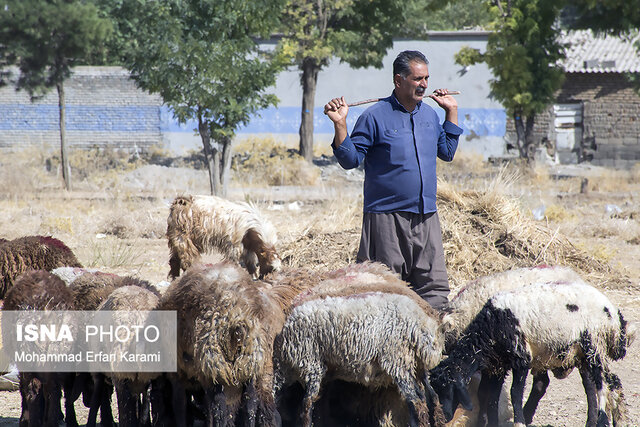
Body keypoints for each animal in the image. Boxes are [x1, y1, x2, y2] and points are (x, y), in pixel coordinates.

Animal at [154, 262, 306, 426]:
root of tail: (236, 319)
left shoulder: (179, 375)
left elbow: (180, 407)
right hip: (251, 365)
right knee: (252, 404)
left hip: (216, 368)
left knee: (220, 409)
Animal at [274, 264, 444, 427]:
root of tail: (420, 323)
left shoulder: (312, 365)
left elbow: (306, 406)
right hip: (417, 364)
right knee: (431, 396)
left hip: (397, 360)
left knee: (416, 401)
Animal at [428, 280, 632, 427]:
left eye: (448, 389)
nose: (443, 418)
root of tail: (613, 313)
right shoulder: (498, 364)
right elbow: (490, 396)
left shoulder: (521, 358)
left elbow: (515, 393)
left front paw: (519, 422)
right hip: (582, 354)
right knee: (601, 385)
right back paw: (608, 421)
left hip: (594, 345)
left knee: (603, 385)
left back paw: (603, 421)